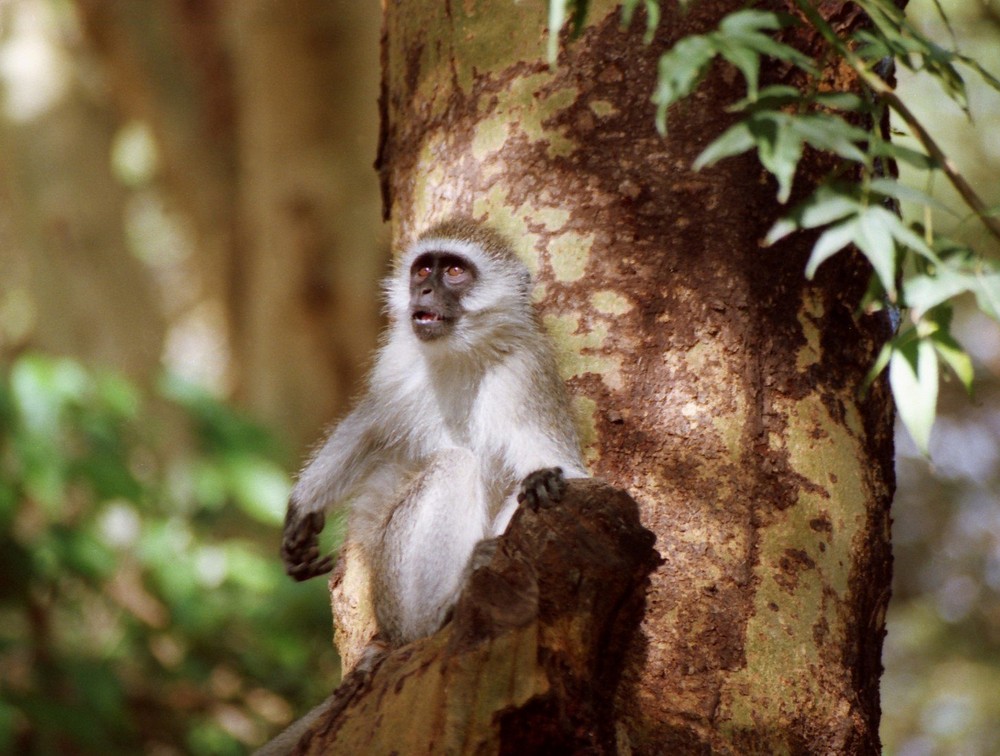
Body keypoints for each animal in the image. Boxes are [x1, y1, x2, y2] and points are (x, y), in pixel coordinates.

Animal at [280, 216, 584, 648]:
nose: (422, 291)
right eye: (423, 270)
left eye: (454, 271)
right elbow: (369, 423)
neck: (461, 354)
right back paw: (437, 615)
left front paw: (542, 480)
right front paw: (304, 507)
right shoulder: (395, 362)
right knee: (455, 464)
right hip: (390, 583)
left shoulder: (527, 373)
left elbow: (561, 472)